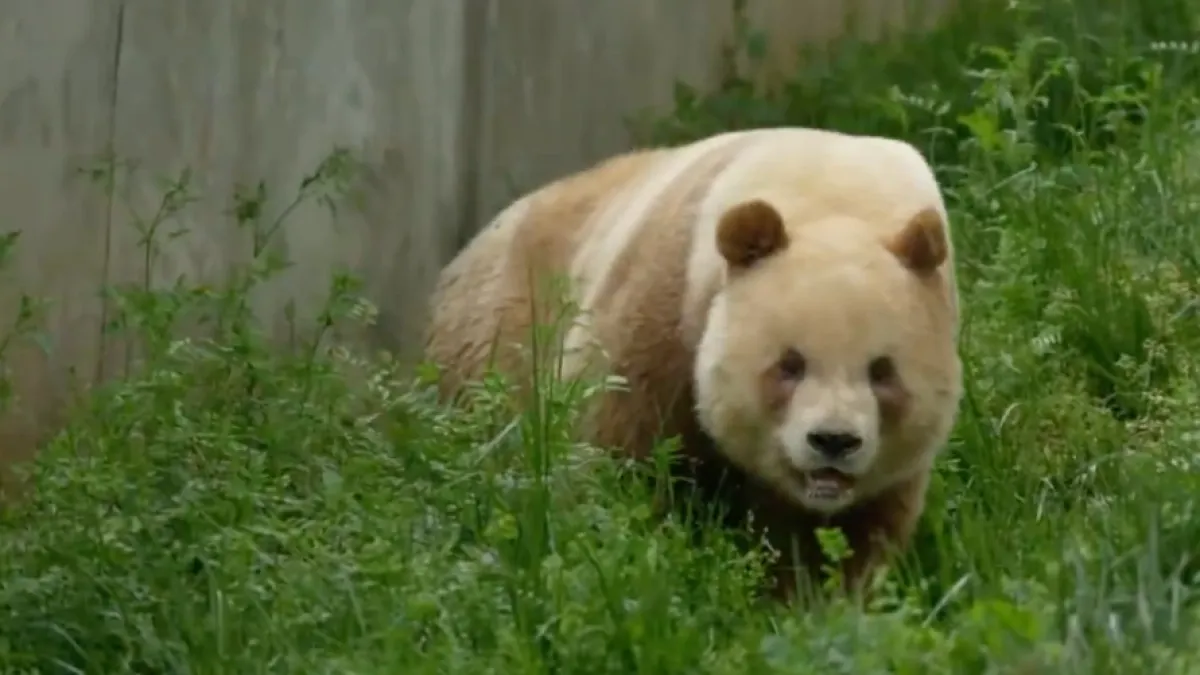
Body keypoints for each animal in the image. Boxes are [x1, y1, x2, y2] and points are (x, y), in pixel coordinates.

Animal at [422, 126, 963, 603]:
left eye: (882, 372)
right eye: (789, 365)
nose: (833, 441)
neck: (834, 195)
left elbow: (843, 539)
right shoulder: (667, 305)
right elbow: (620, 459)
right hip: (499, 340)